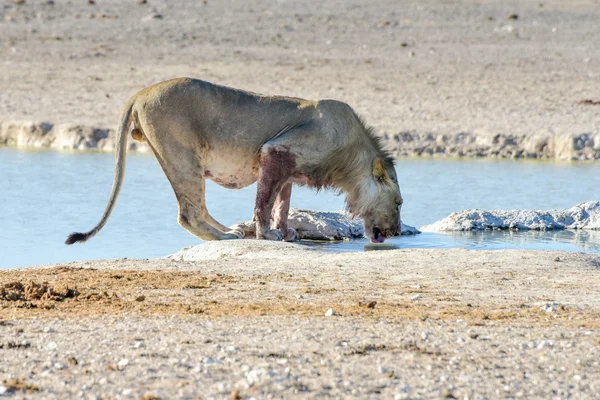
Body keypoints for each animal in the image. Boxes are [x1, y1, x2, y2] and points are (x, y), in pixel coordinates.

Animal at [64, 78, 404, 244]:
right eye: (399, 203)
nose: (397, 232)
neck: (352, 156)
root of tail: (141, 92)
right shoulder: (275, 150)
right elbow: (264, 202)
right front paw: (267, 235)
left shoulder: (287, 168)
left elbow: (281, 204)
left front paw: (285, 232)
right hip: (183, 157)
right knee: (188, 213)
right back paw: (225, 236)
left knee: (199, 208)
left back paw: (230, 229)